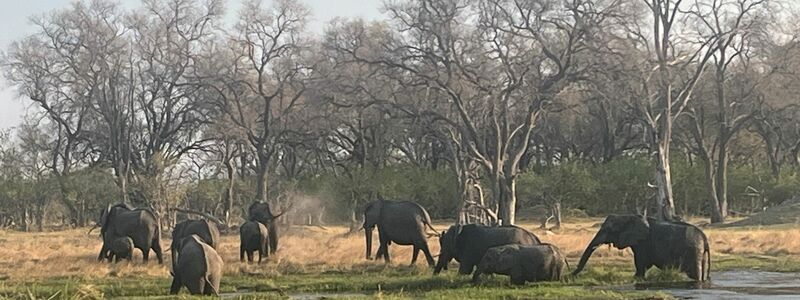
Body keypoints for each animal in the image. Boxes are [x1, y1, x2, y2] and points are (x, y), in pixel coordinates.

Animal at [572, 216, 708, 282]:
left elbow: (641, 263)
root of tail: (704, 237)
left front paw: (637, 278)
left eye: (609, 229)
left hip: (693, 251)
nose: (570, 276)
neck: (629, 217)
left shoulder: (643, 243)